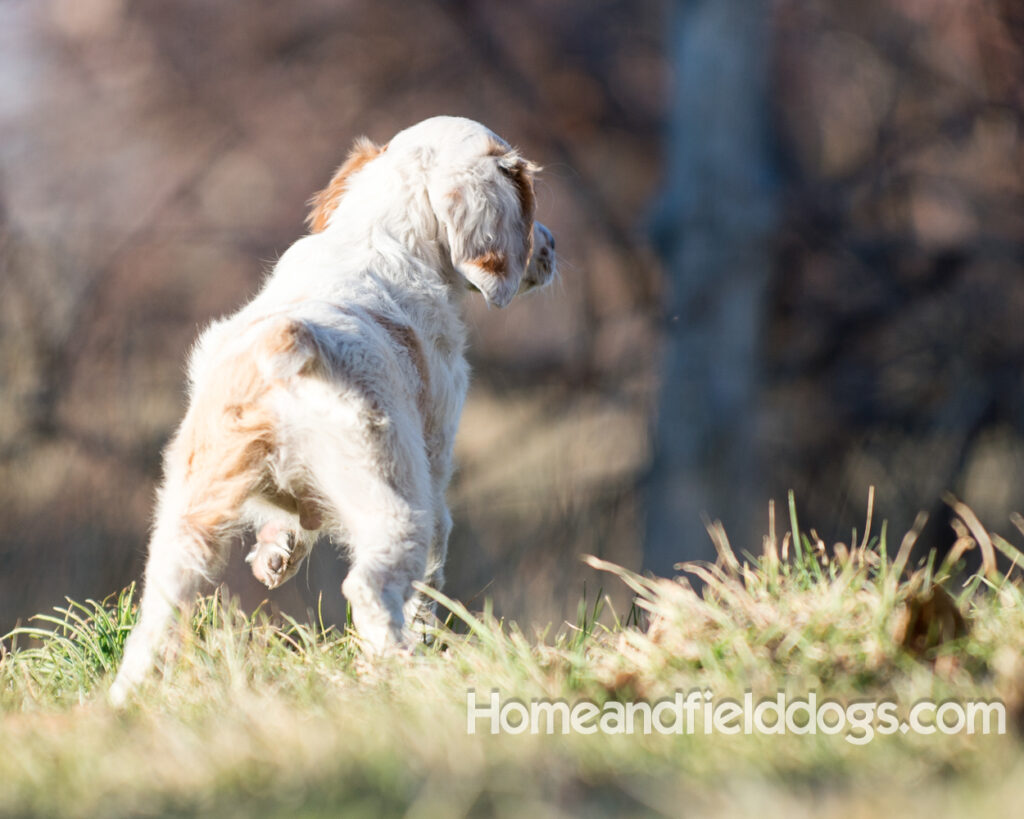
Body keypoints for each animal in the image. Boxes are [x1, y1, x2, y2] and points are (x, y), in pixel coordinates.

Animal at [109, 116, 557, 704]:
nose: (551, 245)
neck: (376, 234)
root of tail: (287, 340)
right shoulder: (434, 467)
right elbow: (430, 581)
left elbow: (287, 523)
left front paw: (275, 555)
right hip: (393, 501)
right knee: (368, 588)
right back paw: (404, 671)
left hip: (188, 516)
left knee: (152, 622)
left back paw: (123, 703)